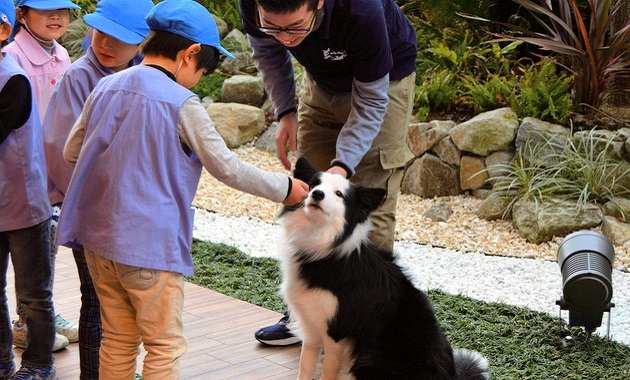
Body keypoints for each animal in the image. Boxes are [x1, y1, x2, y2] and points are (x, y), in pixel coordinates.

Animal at [278, 157, 492, 380]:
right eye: (313, 185)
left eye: (339, 194)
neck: (323, 246)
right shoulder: (311, 326)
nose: (317, 194)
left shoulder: (337, 332)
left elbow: (328, 371)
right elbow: (305, 366)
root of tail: (452, 374)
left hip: (371, 358)